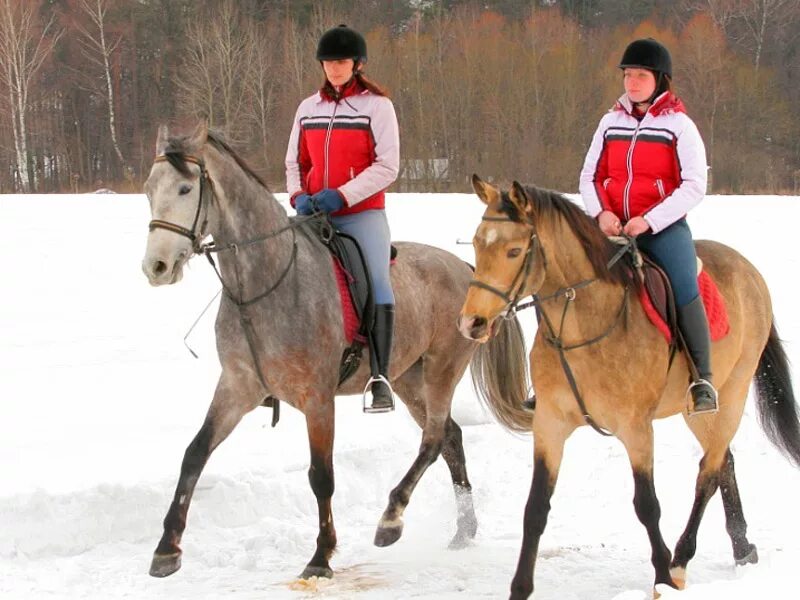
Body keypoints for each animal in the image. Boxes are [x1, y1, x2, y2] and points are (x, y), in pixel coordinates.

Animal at [142, 125, 532, 580]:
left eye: (186, 188)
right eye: (149, 190)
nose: (156, 267)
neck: (264, 283)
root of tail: (465, 269)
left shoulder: (317, 398)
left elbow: (321, 476)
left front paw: (320, 556)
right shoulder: (238, 387)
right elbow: (194, 455)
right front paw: (166, 549)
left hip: (441, 370)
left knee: (434, 440)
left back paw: (390, 520)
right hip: (408, 378)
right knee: (450, 437)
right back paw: (463, 530)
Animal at [460, 176, 796, 600]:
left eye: (514, 250)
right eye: (476, 243)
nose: (471, 322)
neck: (585, 324)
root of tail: (749, 270)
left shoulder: (636, 428)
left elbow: (647, 506)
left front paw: (663, 577)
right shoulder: (550, 424)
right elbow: (535, 508)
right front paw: (520, 588)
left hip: (731, 393)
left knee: (708, 473)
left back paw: (681, 561)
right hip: (699, 411)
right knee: (724, 463)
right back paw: (742, 548)